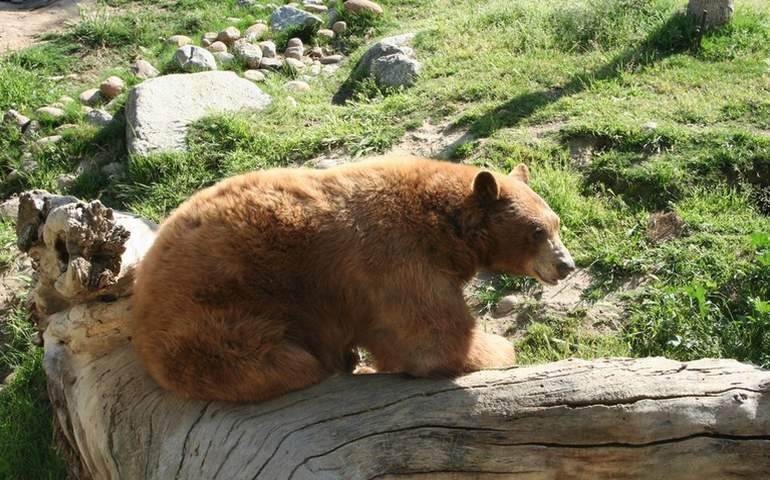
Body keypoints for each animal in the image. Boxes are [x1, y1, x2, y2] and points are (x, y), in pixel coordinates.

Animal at [132, 156, 572, 404]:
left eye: (556, 223)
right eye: (537, 231)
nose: (565, 264)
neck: (443, 225)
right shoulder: (398, 260)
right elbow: (432, 342)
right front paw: (499, 350)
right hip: (217, 316)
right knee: (278, 362)